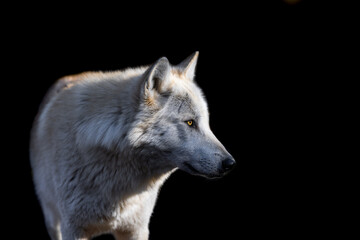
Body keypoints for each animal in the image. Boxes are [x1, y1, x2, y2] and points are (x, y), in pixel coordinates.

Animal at [29, 52, 235, 240]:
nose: (230, 163)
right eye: (190, 122)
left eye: (206, 123)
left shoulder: (136, 229)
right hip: (52, 219)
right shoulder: (73, 229)